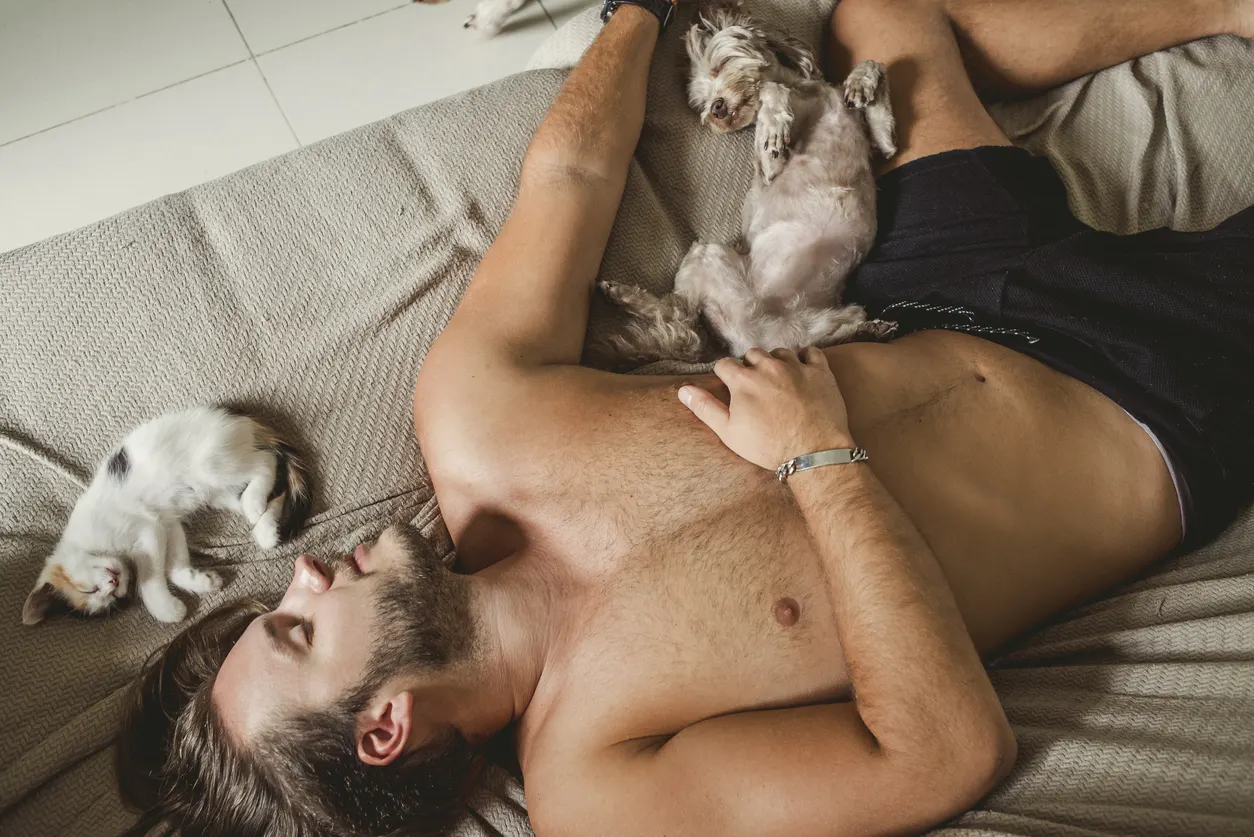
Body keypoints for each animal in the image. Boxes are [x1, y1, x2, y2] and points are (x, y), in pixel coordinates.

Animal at [22, 409, 310, 624]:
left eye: (89, 590)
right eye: (114, 598)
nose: (114, 583)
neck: (94, 546)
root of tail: (236, 418)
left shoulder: (147, 528)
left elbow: (150, 575)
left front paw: (166, 609)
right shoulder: (167, 523)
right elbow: (172, 566)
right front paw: (202, 582)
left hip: (212, 463)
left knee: (266, 461)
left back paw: (254, 504)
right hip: (216, 491)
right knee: (275, 491)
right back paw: (266, 530)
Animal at [599, 2, 902, 363]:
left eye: (720, 66)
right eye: (702, 102)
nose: (715, 109)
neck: (807, 92)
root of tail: (745, 344)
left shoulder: (878, 147)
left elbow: (875, 80)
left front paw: (861, 86)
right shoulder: (770, 168)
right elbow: (773, 96)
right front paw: (775, 127)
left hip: (826, 321)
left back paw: (870, 330)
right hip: (708, 255)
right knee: (681, 320)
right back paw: (623, 295)